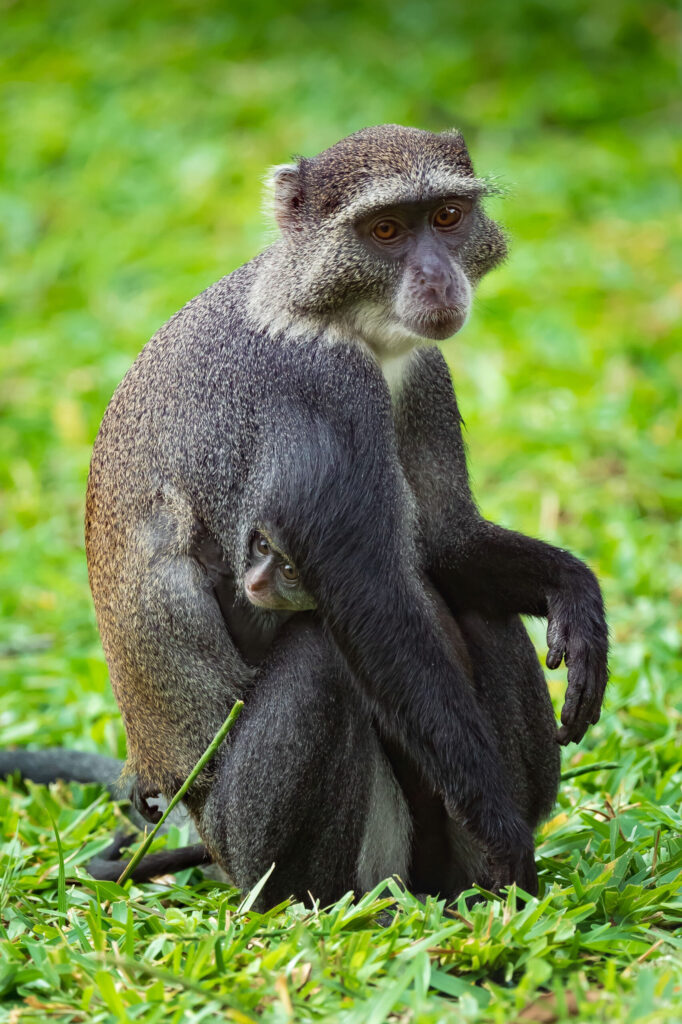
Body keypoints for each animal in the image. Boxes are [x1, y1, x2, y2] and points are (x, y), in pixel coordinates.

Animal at [7, 126, 608, 908]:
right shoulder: (323, 390)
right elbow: (373, 603)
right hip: (247, 835)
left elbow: (447, 546)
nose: (438, 278)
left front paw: (577, 599)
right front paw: (502, 827)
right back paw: (319, 903)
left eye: (446, 217)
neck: (326, 309)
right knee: (320, 661)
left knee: (478, 607)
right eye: (385, 231)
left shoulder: (424, 376)